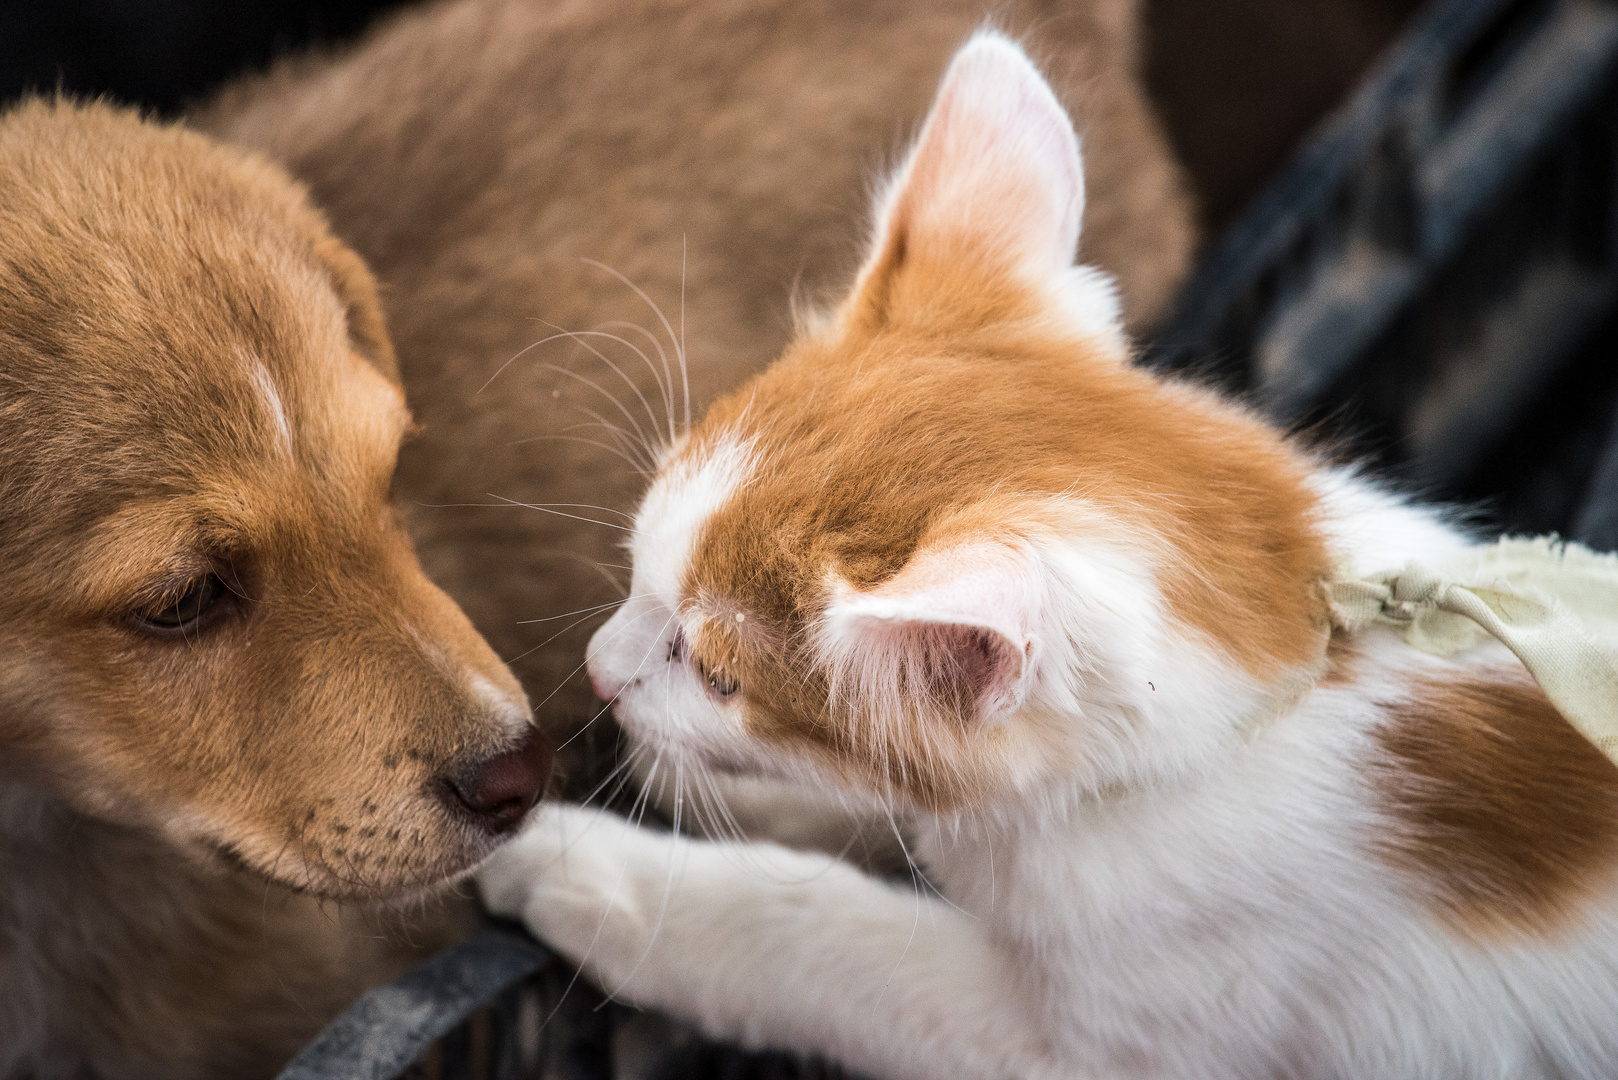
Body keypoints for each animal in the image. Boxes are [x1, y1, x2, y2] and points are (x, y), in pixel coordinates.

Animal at [482, 33, 1618, 1080]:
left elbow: (825, 944)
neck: (1296, 665)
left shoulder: (1108, 1041)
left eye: (717, 676)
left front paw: (593, 868)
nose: (596, 671)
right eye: (635, 562)